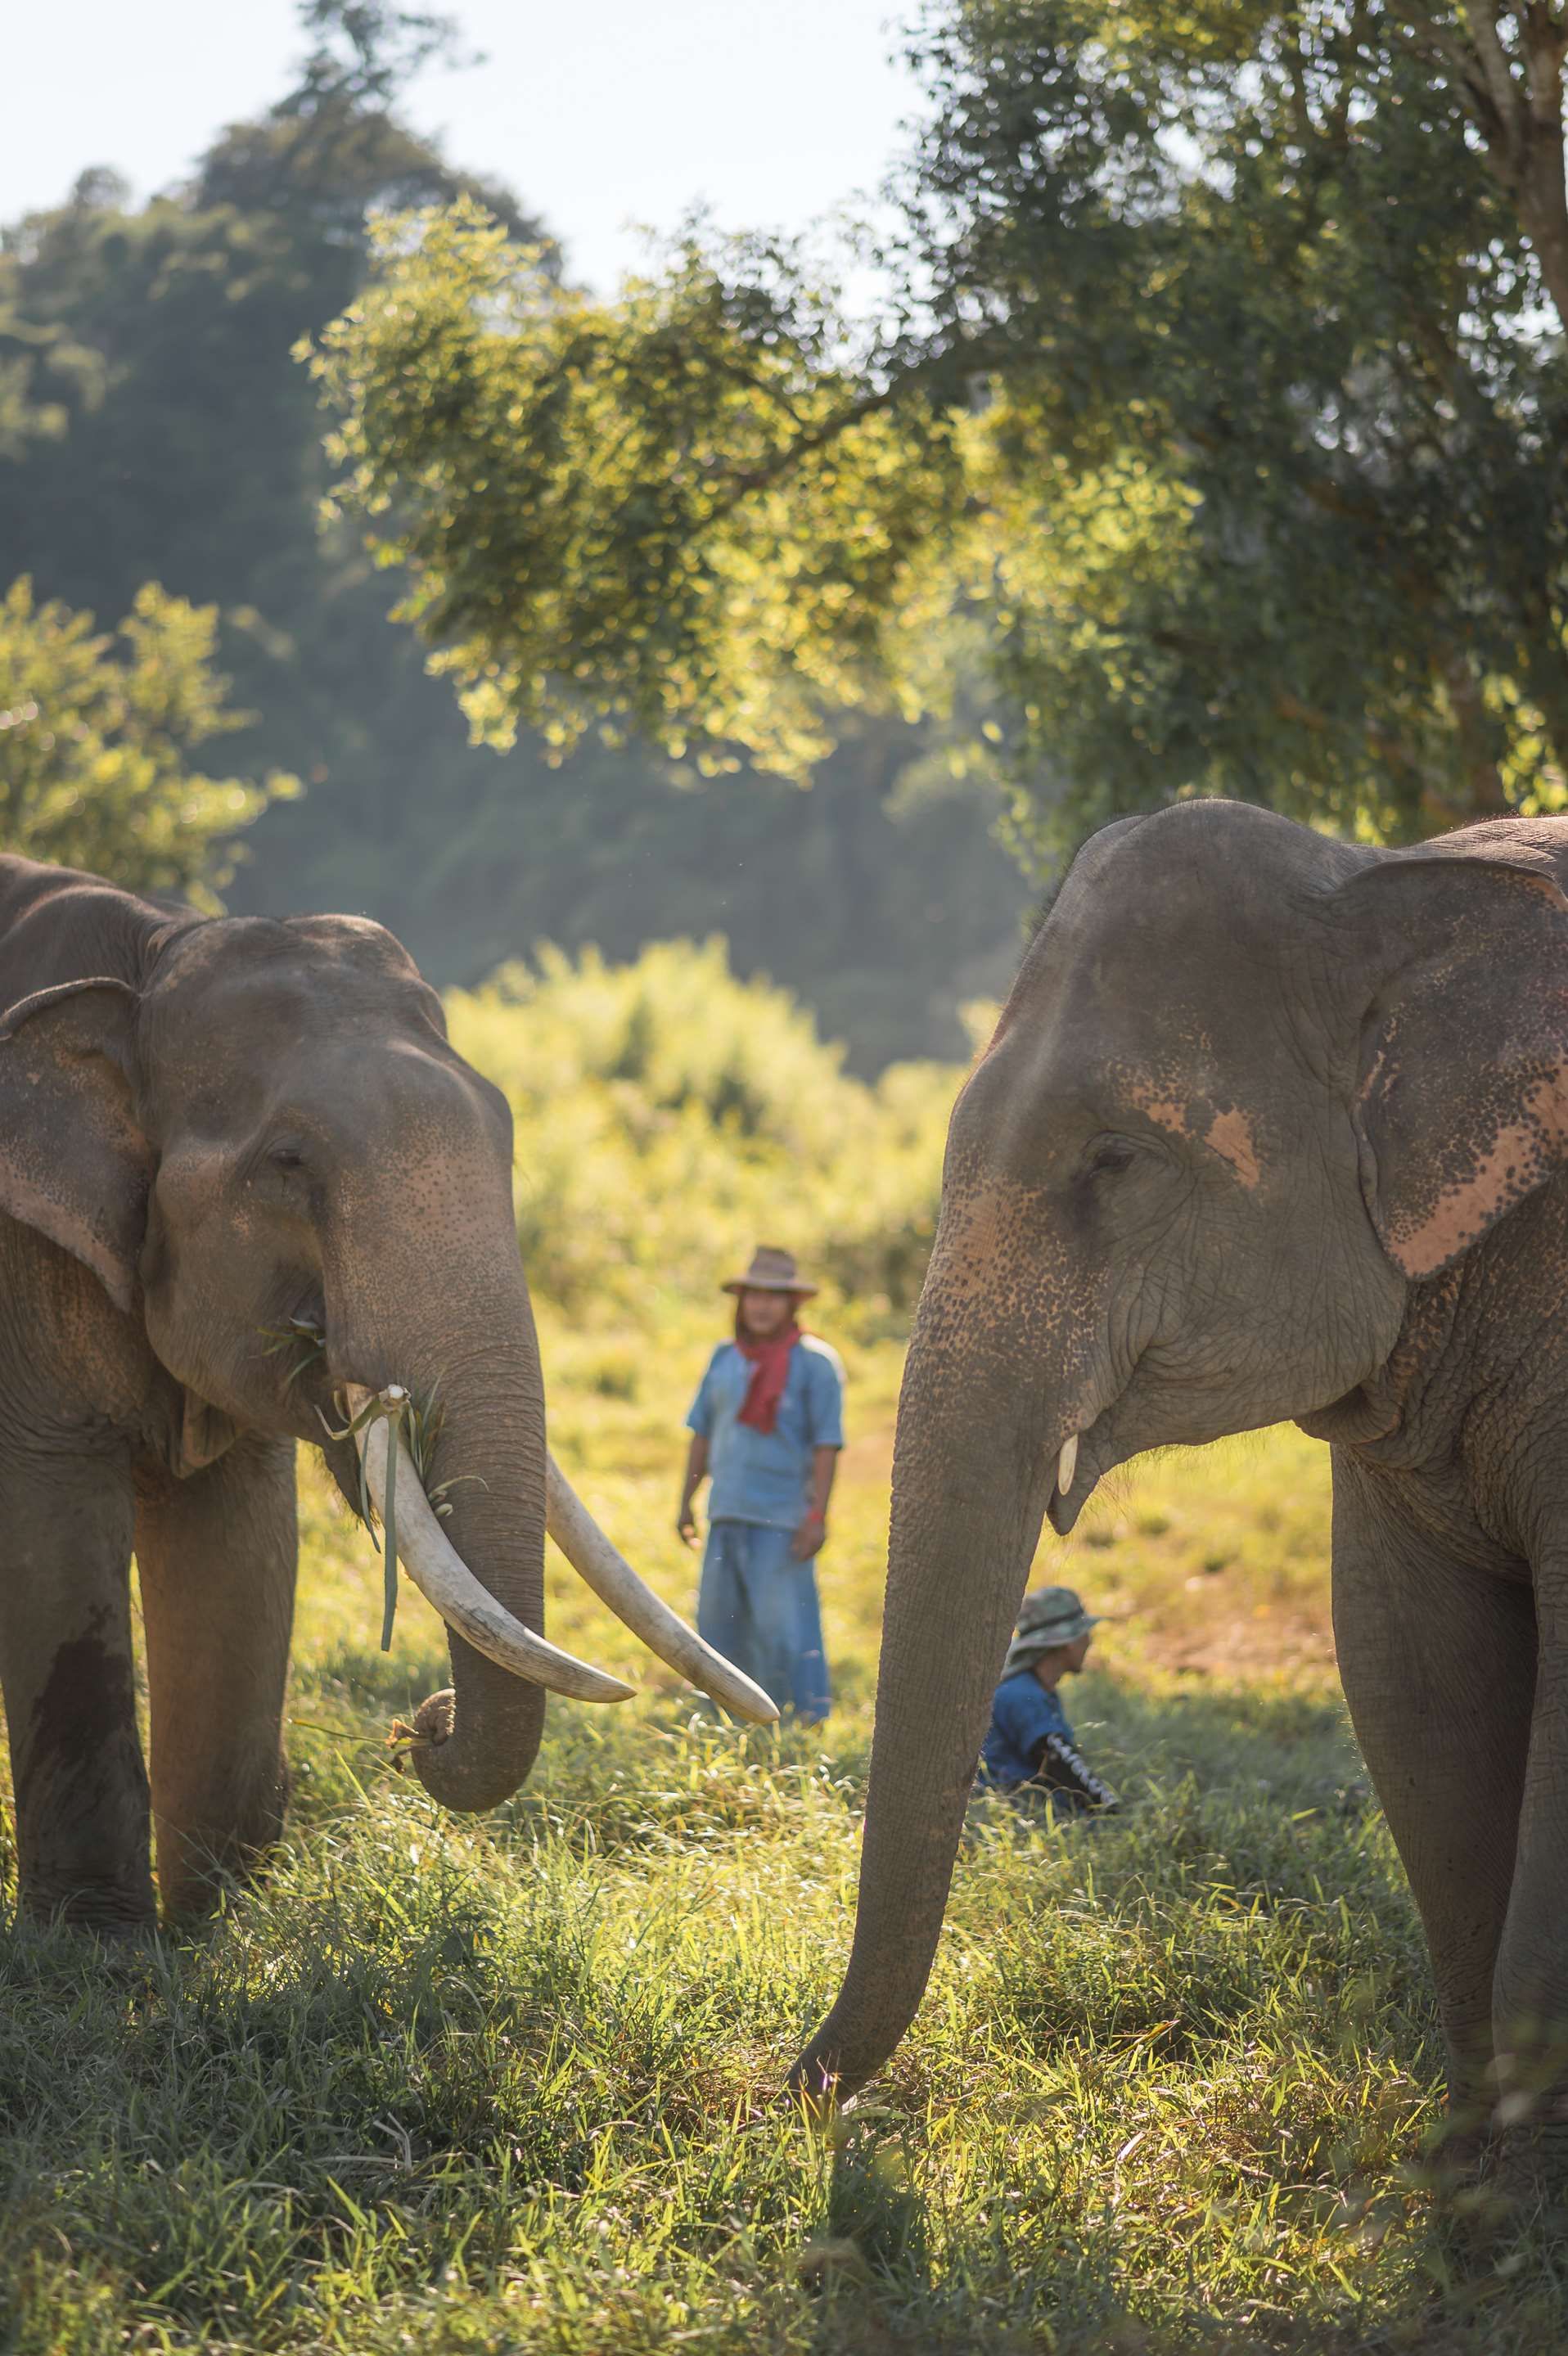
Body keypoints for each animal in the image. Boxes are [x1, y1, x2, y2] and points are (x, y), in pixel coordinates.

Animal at [0, 854, 771, 1933]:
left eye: (508, 1131)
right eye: (287, 1164)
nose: (420, 1724)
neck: (154, 948)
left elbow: (238, 1546)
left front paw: (215, 1928)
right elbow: (56, 1519)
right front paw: (100, 1948)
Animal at [791, 799, 1568, 2163]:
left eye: (1116, 1160)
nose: (795, 2090)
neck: (1382, 883)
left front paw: (1514, 2182)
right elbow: (1410, 1676)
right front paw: (1476, 2170)